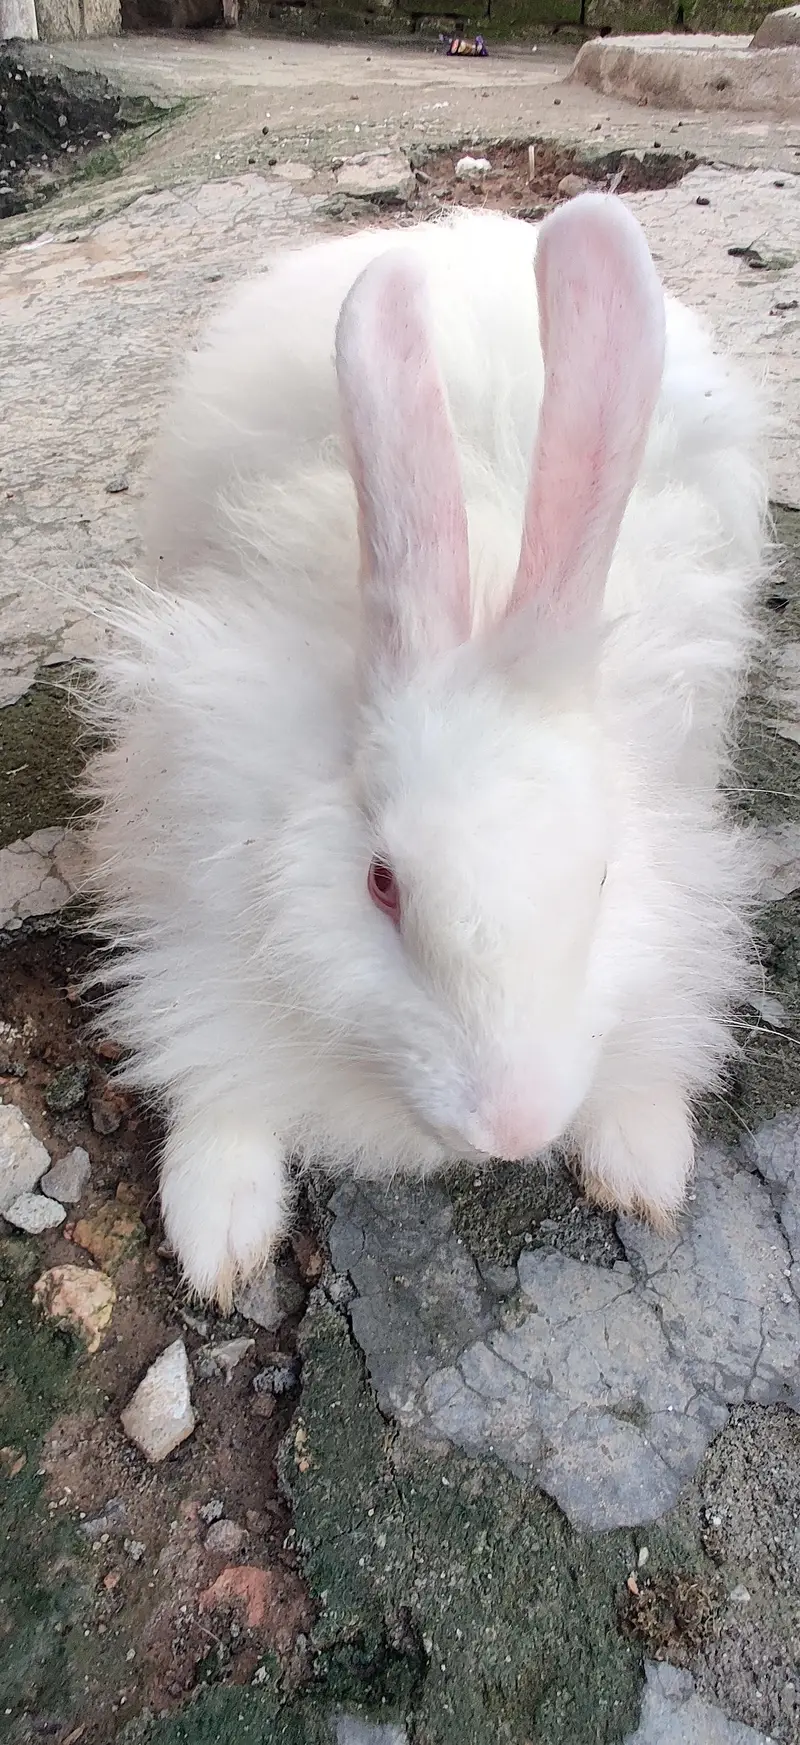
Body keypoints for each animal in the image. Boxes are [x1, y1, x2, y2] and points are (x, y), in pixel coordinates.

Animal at [84, 193, 768, 1306]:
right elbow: (204, 1050)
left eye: (602, 880)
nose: (511, 1126)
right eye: (380, 883)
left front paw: (643, 1158)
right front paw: (219, 1224)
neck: (484, 588)